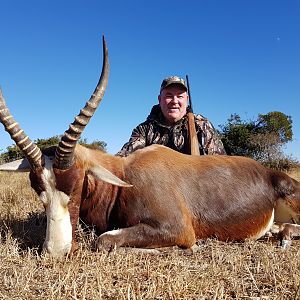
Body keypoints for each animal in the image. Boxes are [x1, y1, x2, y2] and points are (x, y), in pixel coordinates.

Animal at [0, 37, 300, 258]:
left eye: (75, 186)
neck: (125, 175)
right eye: (38, 190)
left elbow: (103, 241)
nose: (56, 252)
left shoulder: (177, 228)